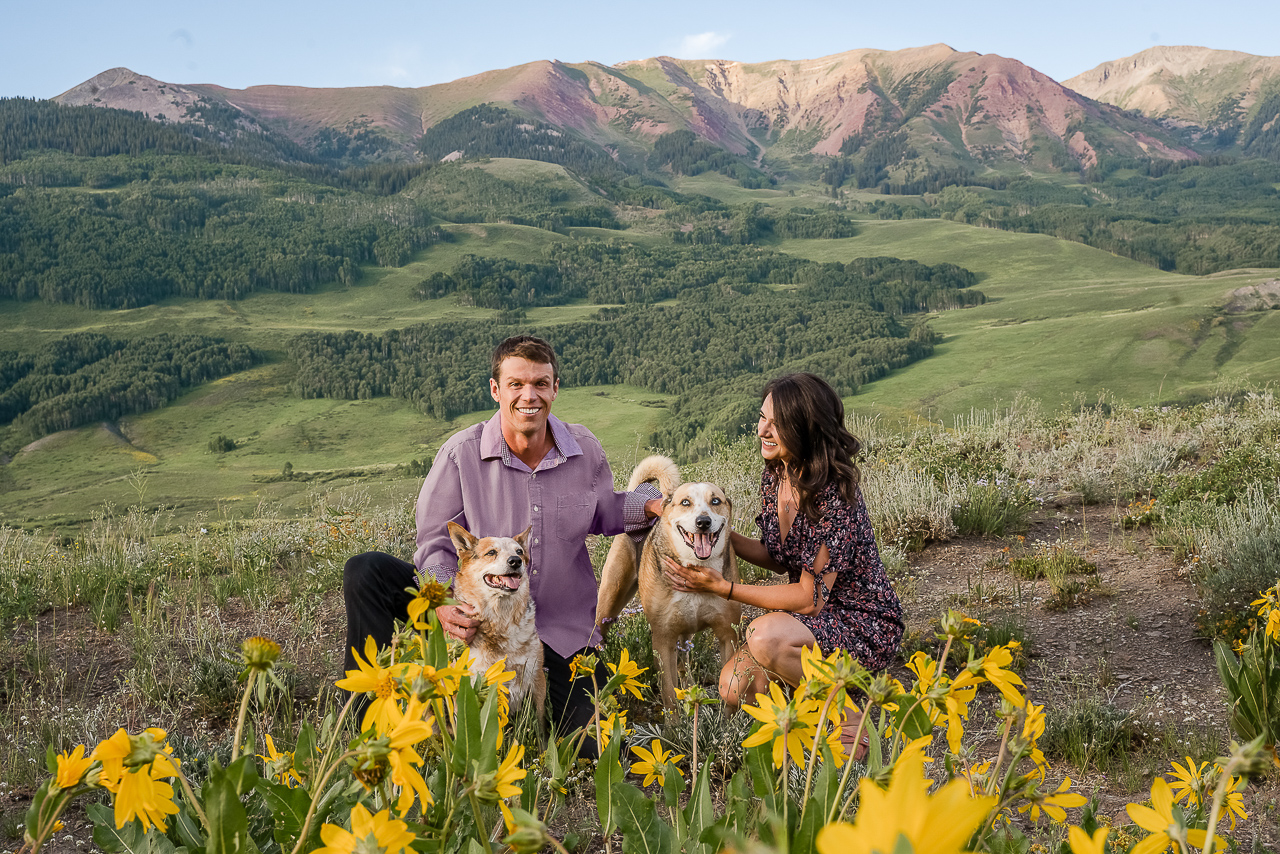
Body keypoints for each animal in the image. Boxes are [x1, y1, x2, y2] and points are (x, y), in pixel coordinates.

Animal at [448, 522, 542, 727]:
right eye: (491, 552)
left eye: (519, 551)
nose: (516, 561)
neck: (501, 621)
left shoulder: (536, 676)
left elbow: (543, 727)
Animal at [591, 453, 742, 706]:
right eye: (685, 502)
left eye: (715, 501)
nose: (703, 522)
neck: (696, 568)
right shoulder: (663, 639)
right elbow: (669, 694)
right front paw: (675, 716)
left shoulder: (728, 635)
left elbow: (730, 690)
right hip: (609, 603)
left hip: (685, 631)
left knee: (684, 661)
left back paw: (691, 691)